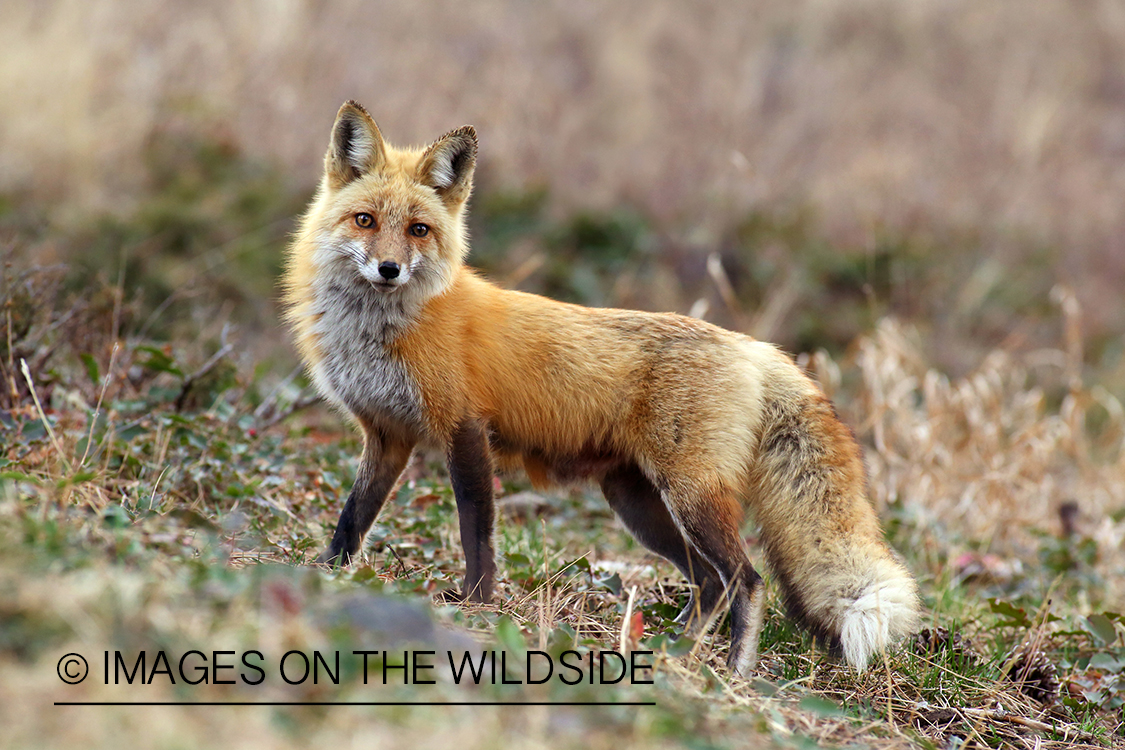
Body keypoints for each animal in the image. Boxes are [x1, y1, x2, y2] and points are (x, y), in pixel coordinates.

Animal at [283, 99, 922, 674]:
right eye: (365, 221)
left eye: (418, 230)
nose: (389, 269)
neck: (384, 328)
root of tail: (755, 347)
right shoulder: (387, 434)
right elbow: (353, 517)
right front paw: (326, 574)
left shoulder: (463, 429)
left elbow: (476, 531)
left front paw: (476, 605)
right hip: (637, 504)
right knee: (709, 582)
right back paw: (674, 652)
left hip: (689, 496)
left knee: (747, 579)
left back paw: (733, 672)